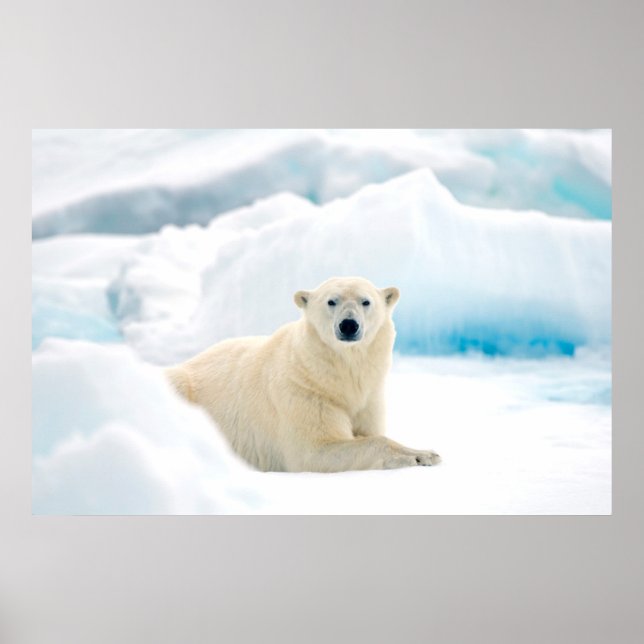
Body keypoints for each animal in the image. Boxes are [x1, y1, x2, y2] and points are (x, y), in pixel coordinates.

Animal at [165, 276, 440, 472]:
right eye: (331, 301)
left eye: (366, 301)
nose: (348, 325)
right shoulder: (303, 392)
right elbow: (314, 450)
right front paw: (421, 455)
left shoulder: (369, 398)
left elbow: (370, 430)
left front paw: (426, 452)